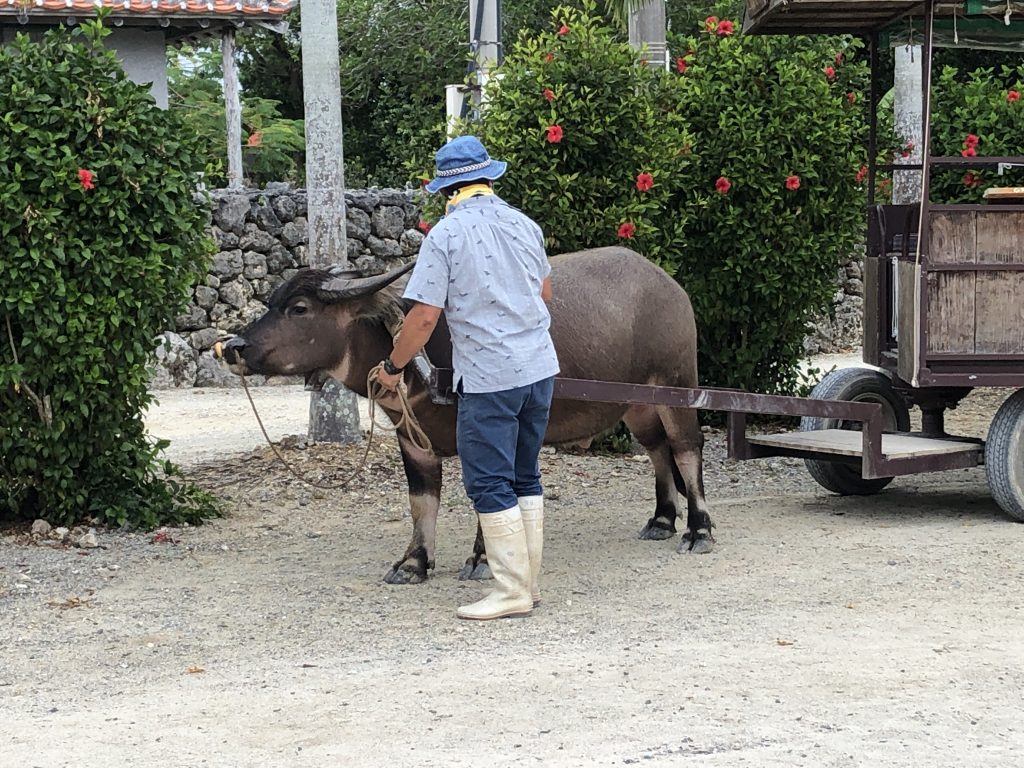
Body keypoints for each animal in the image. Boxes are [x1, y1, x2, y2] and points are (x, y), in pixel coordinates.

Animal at [223, 246, 716, 581]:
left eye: (299, 309)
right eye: (271, 302)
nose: (233, 347)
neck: (418, 354)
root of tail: (668, 286)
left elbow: (487, 495)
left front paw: (483, 559)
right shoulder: (412, 440)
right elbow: (422, 501)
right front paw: (413, 562)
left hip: (678, 387)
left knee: (686, 448)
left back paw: (699, 530)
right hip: (637, 404)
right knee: (657, 450)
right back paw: (661, 521)